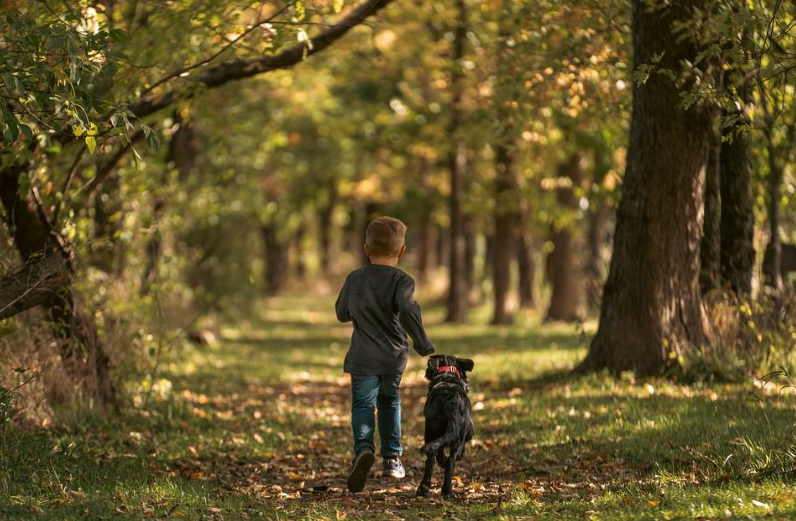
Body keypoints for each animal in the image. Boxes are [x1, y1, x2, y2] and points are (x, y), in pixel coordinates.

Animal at [416, 354, 472, 496]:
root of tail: (450, 403)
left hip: (431, 431)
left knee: (432, 457)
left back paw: (424, 488)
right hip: (457, 436)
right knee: (450, 460)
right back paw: (446, 490)